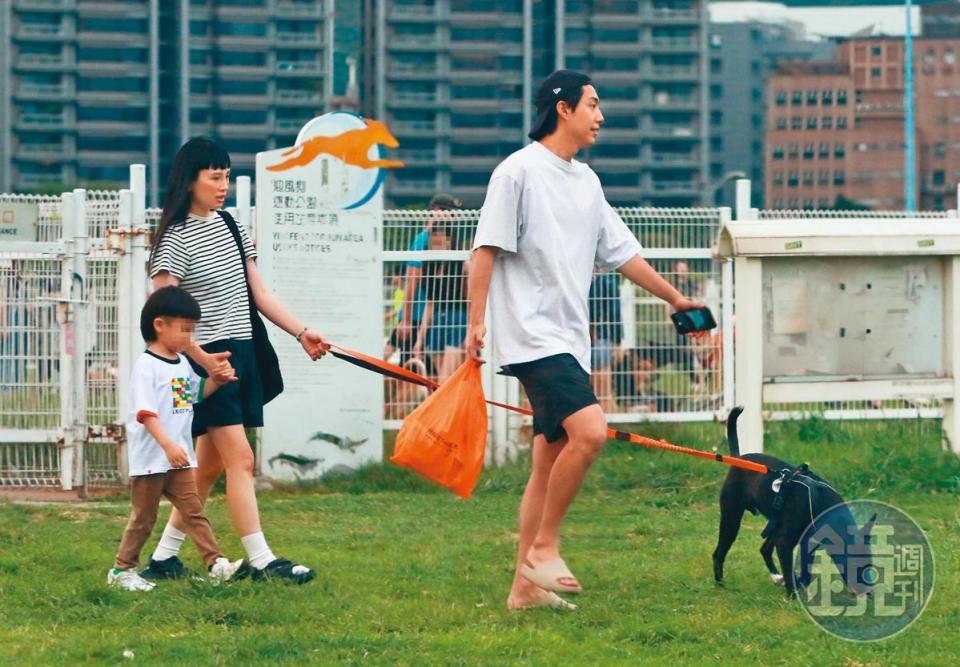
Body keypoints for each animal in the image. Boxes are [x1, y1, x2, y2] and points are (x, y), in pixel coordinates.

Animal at [708, 408, 872, 600]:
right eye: (855, 564)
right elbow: (789, 568)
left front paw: (797, 583)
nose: (870, 592)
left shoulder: (807, 542)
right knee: (719, 553)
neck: (821, 502)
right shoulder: (785, 543)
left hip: (775, 524)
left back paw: (777, 577)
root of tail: (739, 459)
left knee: (764, 549)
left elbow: (805, 573)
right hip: (732, 518)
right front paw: (793, 595)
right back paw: (721, 583)